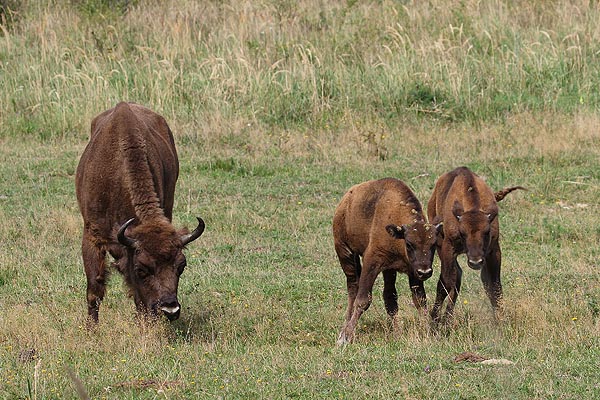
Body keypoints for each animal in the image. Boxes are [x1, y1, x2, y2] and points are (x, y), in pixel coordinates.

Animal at [74, 101, 206, 324]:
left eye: (181, 266)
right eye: (142, 269)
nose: (170, 309)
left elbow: (138, 298)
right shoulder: (92, 237)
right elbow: (94, 290)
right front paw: (91, 328)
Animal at [330, 178, 442, 344]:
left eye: (433, 244)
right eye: (409, 244)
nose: (425, 272)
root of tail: (345, 200)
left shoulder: (411, 272)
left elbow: (419, 301)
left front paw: (429, 332)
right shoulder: (372, 262)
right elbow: (363, 300)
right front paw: (346, 337)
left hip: (389, 270)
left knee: (389, 296)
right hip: (345, 252)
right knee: (353, 288)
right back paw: (344, 329)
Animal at [426, 167, 524, 324]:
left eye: (487, 231)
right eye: (462, 232)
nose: (475, 261)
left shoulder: (493, 251)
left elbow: (494, 285)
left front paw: (501, 320)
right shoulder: (448, 248)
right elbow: (445, 283)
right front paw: (434, 321)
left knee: (460, 277)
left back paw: (447, 318)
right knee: (453, 278)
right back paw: (442, 319)